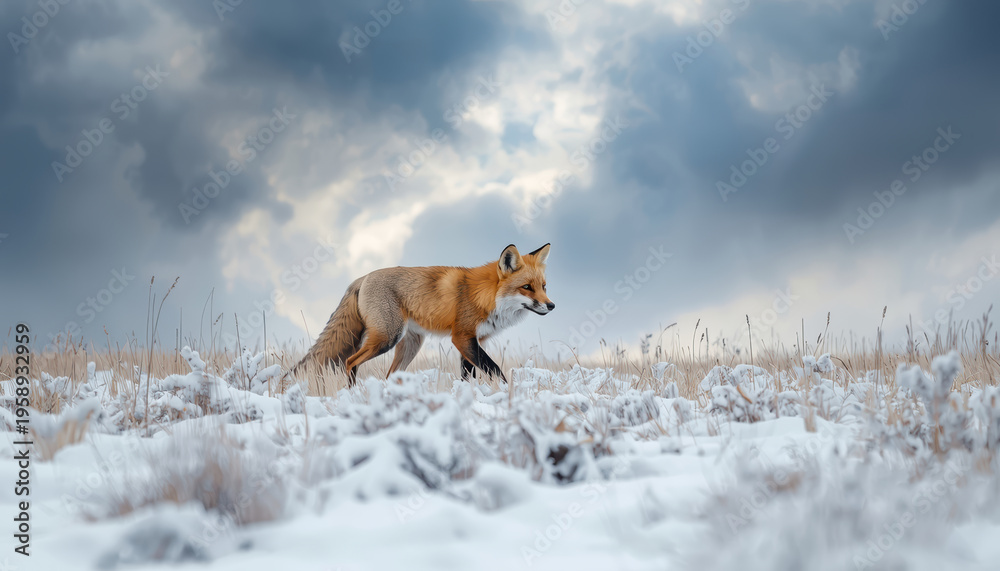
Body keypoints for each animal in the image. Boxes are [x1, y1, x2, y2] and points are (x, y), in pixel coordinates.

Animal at [294, 243, 554, 385]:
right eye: (527, 287)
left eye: (543, 286)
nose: (551, 306)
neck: (485, 295)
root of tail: (362, 277)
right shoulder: (462, 338)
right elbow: (496, 370)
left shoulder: (472, 341)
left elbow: (467, 376)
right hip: (387, 338)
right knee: (350, 361)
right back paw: (352, 394)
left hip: (410, 345)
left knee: (388, 375)